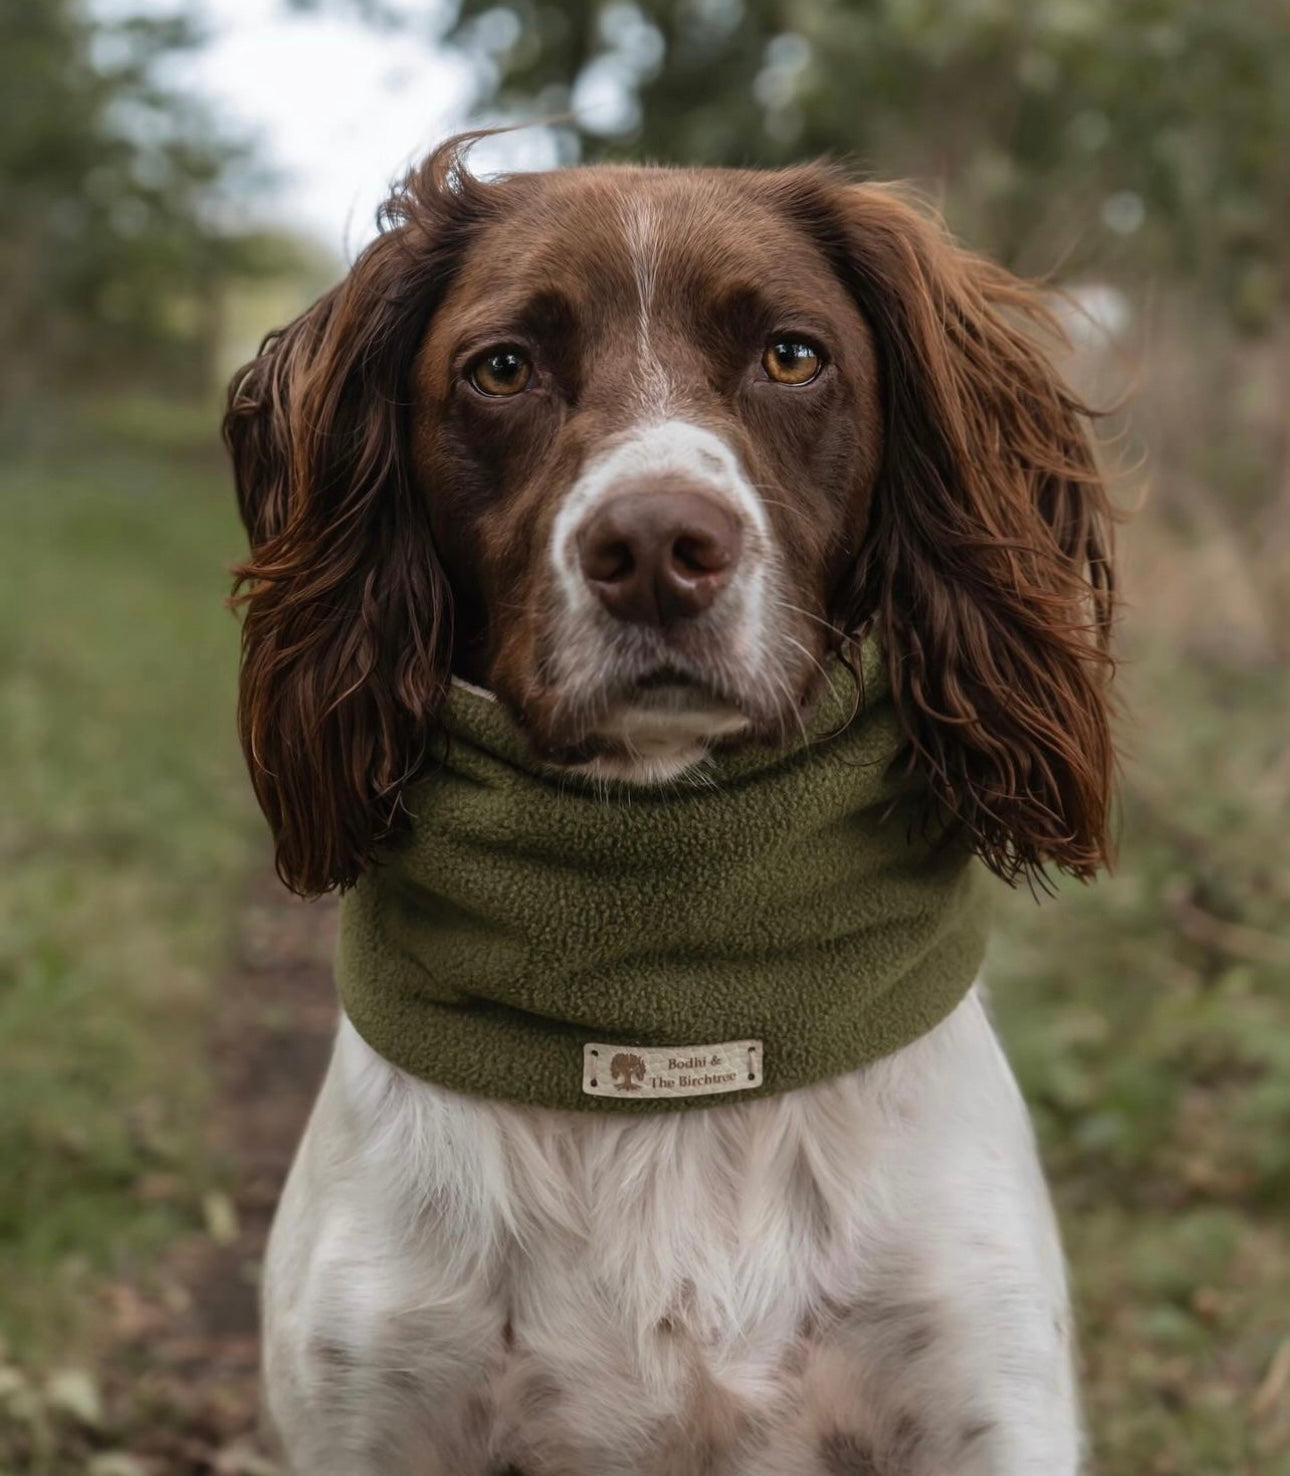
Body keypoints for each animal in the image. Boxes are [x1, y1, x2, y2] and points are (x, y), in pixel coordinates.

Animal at [225, 138, 1109, 1476]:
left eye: (792, 355)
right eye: (504, 367)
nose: (654, 549)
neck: (665, 997)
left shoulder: (988, 1388)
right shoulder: (369, 1406)